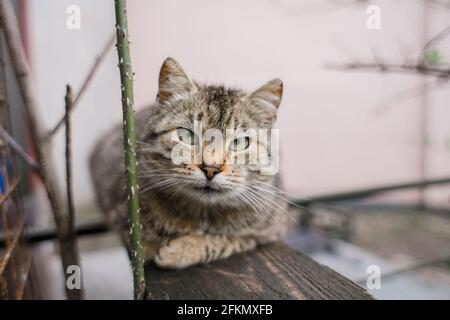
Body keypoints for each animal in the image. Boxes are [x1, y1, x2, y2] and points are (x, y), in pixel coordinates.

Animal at [90, 58, 288, 270]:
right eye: (186, 135)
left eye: (240, 143)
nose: (210, 168)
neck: (201, 214)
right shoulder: (118, 210)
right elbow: (140, 240)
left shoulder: (269, 230)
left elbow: (226, 240)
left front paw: (181, 250)